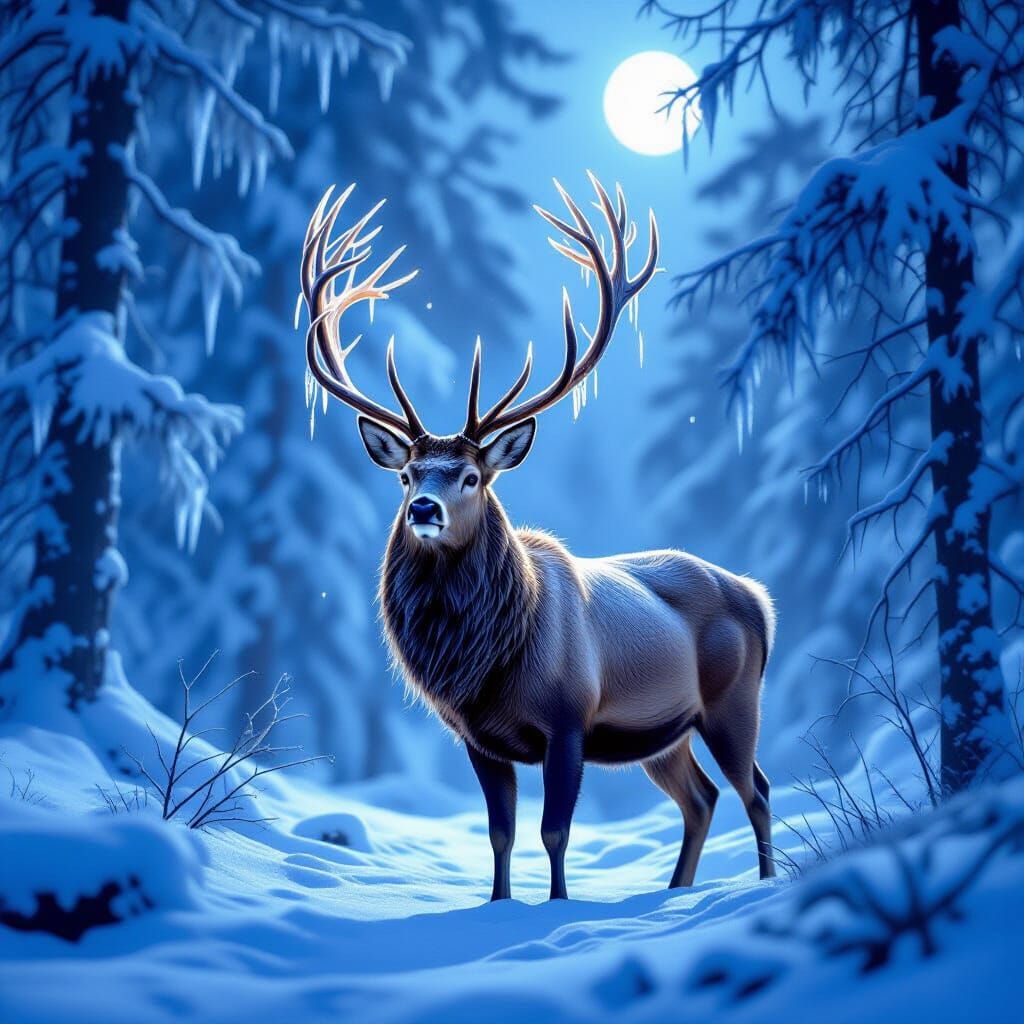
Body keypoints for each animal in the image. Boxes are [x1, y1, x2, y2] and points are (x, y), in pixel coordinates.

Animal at [297, 174, 777, 901]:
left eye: (471, 476)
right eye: (407, 475)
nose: (424, 509)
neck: (486, 660)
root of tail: (760, 599)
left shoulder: (570, 718)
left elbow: (555, 832)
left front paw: (556, 905)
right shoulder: (478, 738)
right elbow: (500, 834)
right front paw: (498, 904)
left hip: (733, 700)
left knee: (757, 792)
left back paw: (766, 884)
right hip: (665, 733)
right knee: (701, 799)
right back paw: (676, 891)